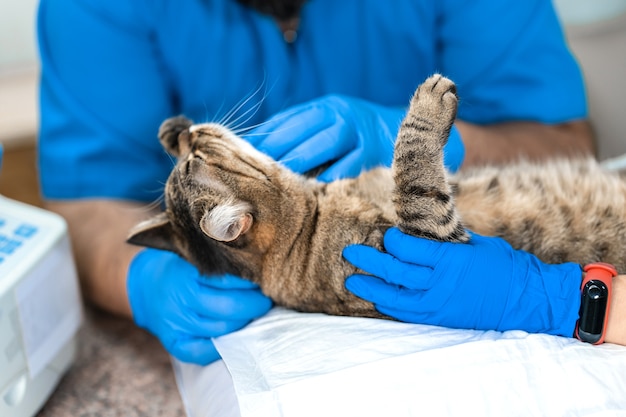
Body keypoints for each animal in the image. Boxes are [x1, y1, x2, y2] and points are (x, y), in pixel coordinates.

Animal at [127, 74, 624, 318]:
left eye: (194, 156)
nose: (189, 132)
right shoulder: (429, 251)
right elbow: (413, 181)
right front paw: (426, 109)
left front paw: (169, 128)